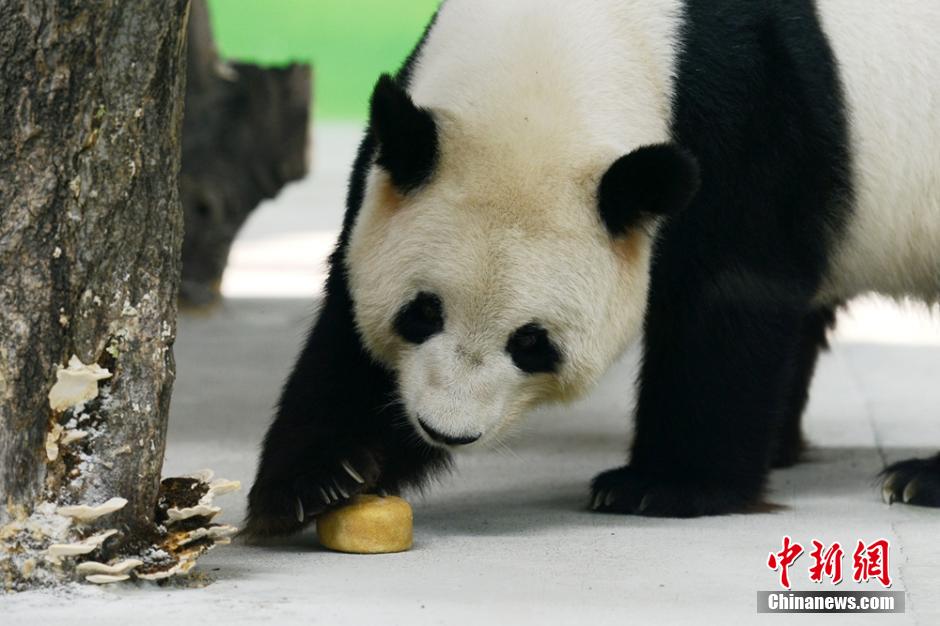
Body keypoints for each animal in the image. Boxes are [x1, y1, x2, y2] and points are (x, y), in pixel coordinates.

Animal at [244, 1, 940, 536]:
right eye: (421, 313)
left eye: (531, 342)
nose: (446, 430)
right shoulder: (398, 151)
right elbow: (347, 317)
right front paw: (317, 482)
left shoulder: (751, 119)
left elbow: (729, 299)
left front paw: (663, 486)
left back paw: (916, 478)